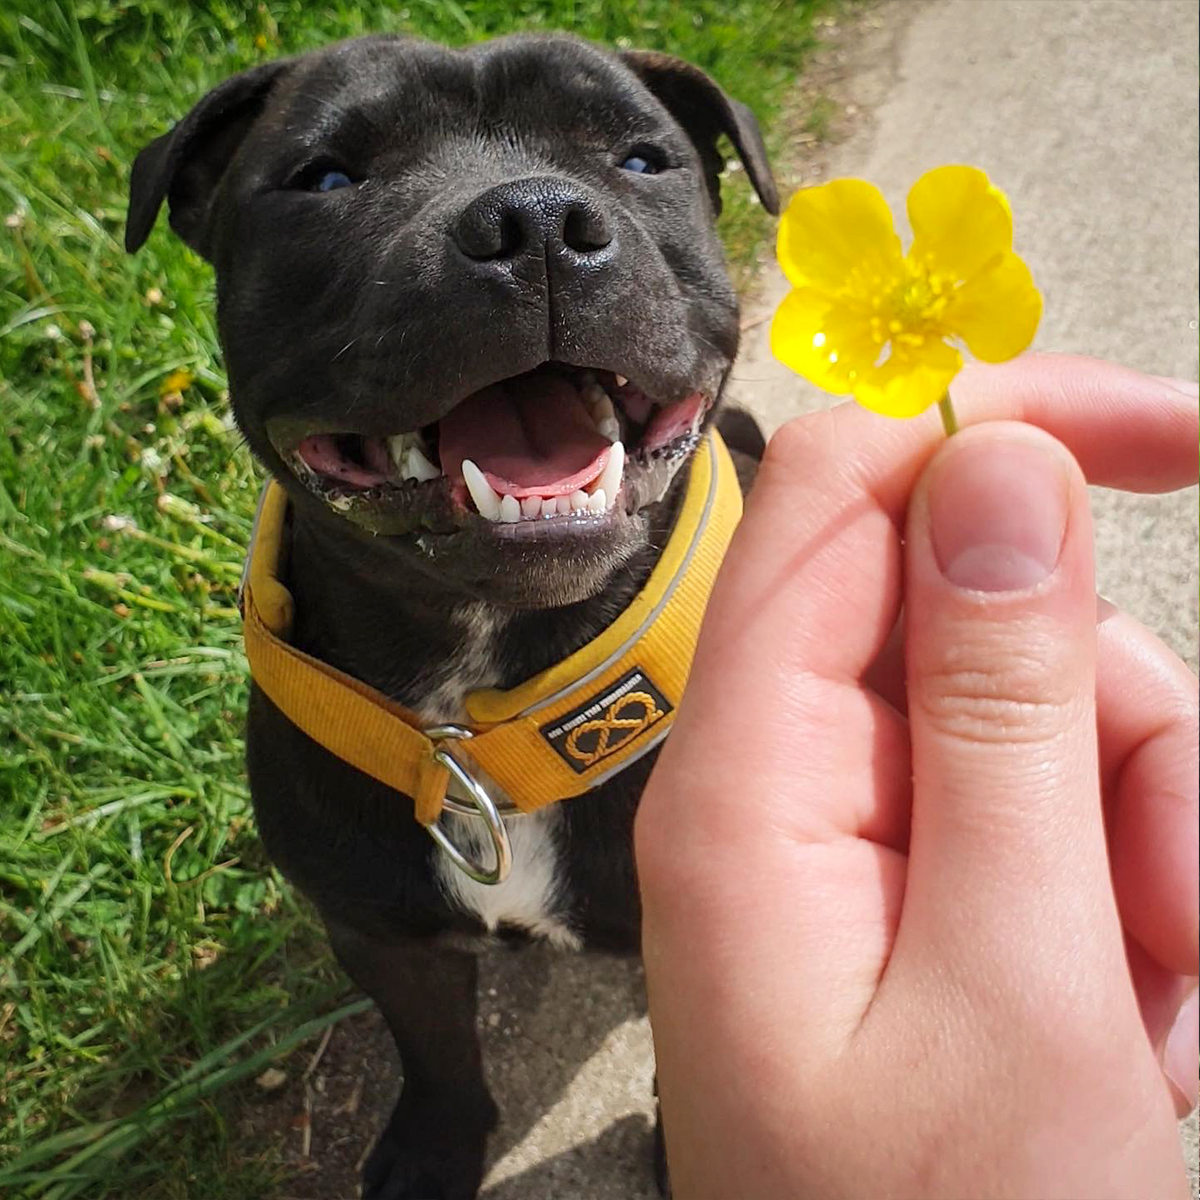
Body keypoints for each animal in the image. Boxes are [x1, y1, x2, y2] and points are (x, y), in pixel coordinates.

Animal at [124, 32, 777, 1195]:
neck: (484, 703)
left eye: (640, 158)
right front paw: (434, 1146)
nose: (534, 221)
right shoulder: (380, 932)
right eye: (326, 178)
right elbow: (431, 1048)